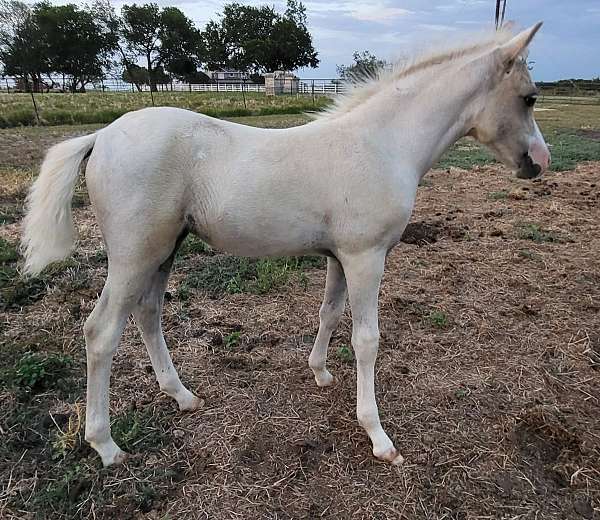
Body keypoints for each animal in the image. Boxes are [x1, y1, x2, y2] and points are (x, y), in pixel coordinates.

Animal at [22, 23, 548, 468]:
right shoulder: (367, 258)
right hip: (135, 254)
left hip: (164, 250)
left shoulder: (340, 257)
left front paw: (320, 373)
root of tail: (101, 135)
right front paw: (378, 436)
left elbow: (329, 314)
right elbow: (367, 339)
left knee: (148, 314)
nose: (540, 163)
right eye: (529, 98)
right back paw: (107, 445)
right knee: (101, 331)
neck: (382, 145)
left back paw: (183, 396)